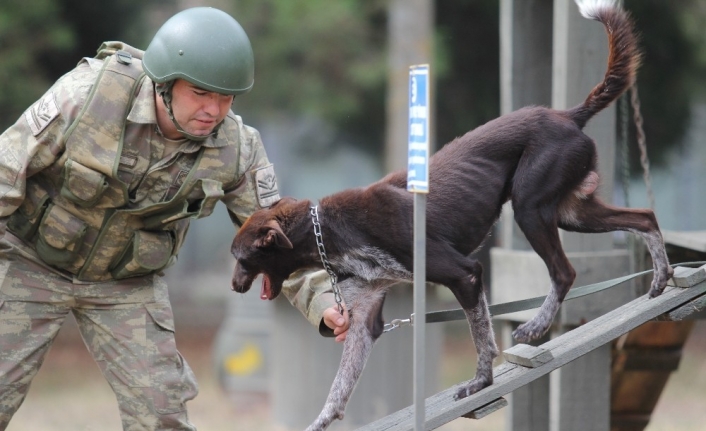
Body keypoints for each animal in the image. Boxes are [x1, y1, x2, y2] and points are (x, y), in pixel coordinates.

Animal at [228, 1, 668, 430]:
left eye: (242, 257)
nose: (233, 286)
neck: (331, 230)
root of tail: (567, 115)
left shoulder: (465, 273)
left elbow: (481, 337)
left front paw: (480, 382)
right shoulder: (366, 319)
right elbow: (339, 386)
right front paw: (321, 420)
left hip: (531, 209)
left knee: (565, 272)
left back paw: (538, 325)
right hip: (571, 212)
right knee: (645, 217)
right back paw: (661, 279)